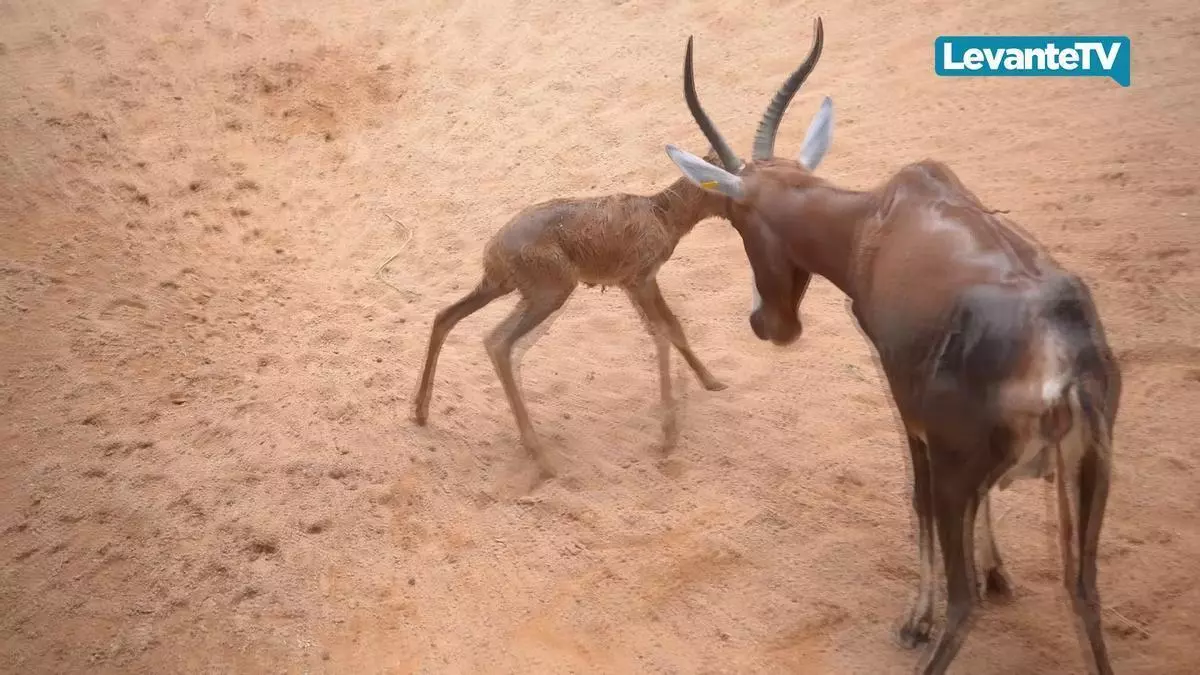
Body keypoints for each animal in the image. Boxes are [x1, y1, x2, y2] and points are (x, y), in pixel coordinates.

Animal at [412, 151, 733, 477]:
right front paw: (669, 434)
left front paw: (712, 382)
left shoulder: (630, 284)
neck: (665, 215)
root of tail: (493, 249)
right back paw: (540, 457)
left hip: (500, 286)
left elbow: (669, 328)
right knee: (498, 342)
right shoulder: (641, 279)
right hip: (550, 292)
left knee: (445, 316)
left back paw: (421, 411)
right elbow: (666, 330)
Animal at [661, 18, 1122, 675]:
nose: (765, 323)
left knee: (964, 602)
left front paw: (915, 618)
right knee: (1085, 595)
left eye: (735, 219)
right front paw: (1000, 574)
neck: (880, 217)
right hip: (1089, 479)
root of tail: (1062, 362)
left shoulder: (911, 416)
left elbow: (917, 499)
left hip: (964, 470)